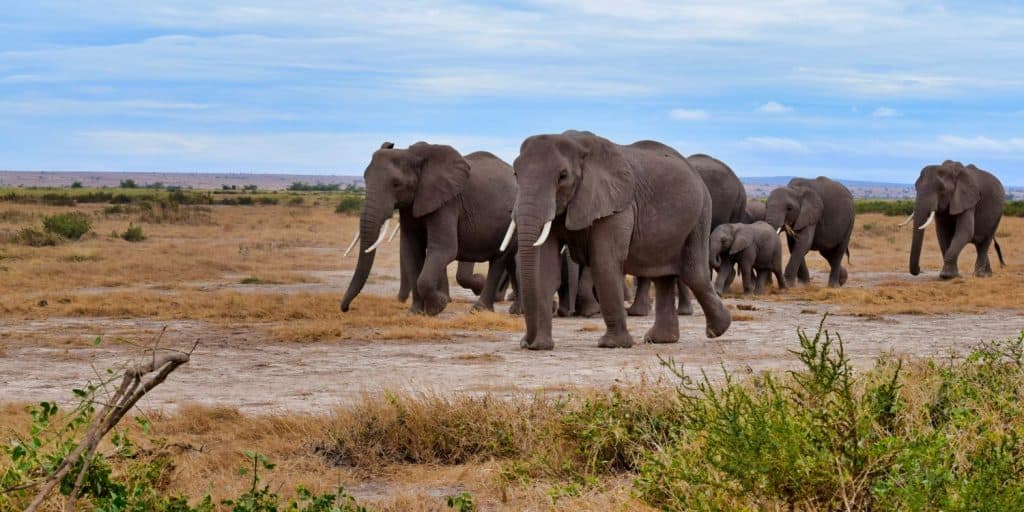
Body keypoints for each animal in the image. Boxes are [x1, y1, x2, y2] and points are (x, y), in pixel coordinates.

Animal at [340, 142, 517, 315]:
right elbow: (411, 252)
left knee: (498, 261)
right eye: (365, 179)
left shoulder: (447, 203)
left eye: (396, 184)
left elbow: (443, 249)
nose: (346, 308)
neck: (413, 155)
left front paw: (438, 306)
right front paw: (415, 312)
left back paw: (480, 308)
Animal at [507, 130, 731, 350]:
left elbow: (604, 261)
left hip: (700, 215)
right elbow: (545, 267)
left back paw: (717, 330)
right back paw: (661, 340)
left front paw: (612, 345)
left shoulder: (617, 206)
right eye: (516, 174)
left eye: (563, 176)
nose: (527, 342)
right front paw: (540, 346)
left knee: (693, 274)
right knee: (663, 277)